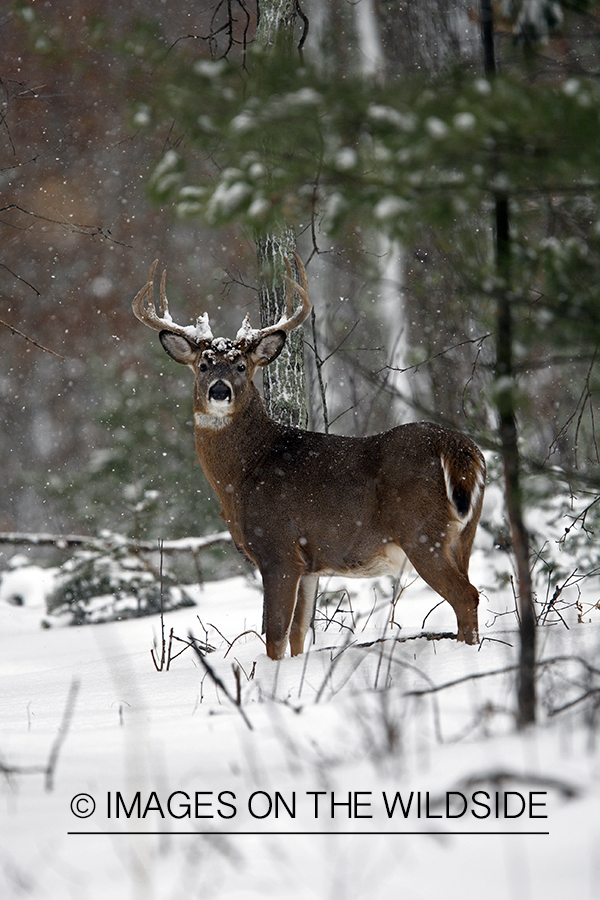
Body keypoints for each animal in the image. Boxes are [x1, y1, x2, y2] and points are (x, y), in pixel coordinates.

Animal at [134, 256, 486, 656]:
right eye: (204, 365)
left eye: (241, 366)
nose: (219, 391)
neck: (243, 473)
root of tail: (459, 447)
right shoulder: (310, 563)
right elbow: (299, 634)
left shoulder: (279, 549)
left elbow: (274, 635)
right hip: (465, 534)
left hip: (422, 532)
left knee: (466, 596)